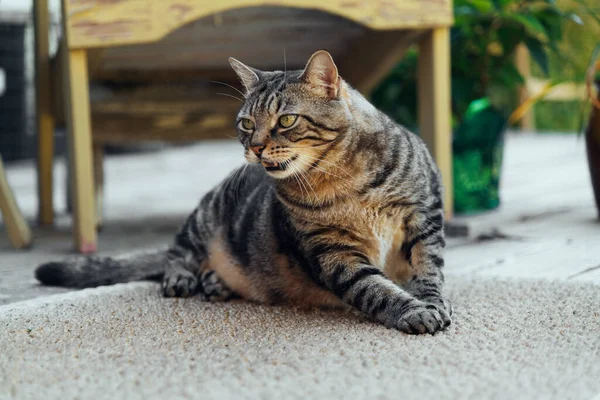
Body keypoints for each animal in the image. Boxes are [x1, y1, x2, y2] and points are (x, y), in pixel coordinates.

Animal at [35, 51, 452, 336]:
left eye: (286, 120)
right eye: (247, 123)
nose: (255, 147)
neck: (345, 179)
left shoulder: (424, 221)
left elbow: (428, 272)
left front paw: (431, 302)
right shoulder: (333, 254)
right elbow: (376, 289)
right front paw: (413, 311)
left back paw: (216, 282)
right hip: (204, 216)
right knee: (176, 253)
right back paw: (184, 278)